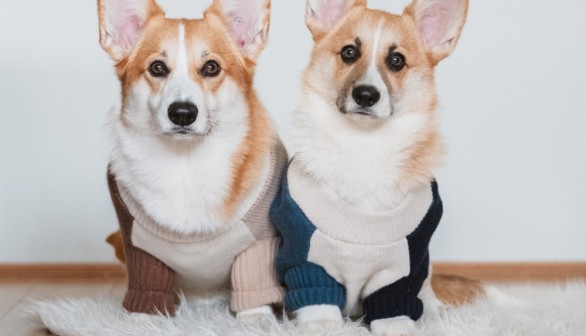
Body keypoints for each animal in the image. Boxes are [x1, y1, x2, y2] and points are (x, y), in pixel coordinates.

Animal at [97, 0, 286, 318]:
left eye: (211, 68)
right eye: (157, 68)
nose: (183, 113)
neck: (185, 164)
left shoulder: (259, 242)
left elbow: (253, 289)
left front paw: (256, 320)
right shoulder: (139, 246)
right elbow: (147, 292)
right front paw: (143, 320)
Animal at [270, 0, 470, 336]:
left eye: (397, 60)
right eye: (349, 52)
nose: (366, 95)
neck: (364, 145)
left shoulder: (404, 263)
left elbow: (395, 300)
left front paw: (397, 327)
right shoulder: (306, 255)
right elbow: (317, 299)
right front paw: (323, 325)